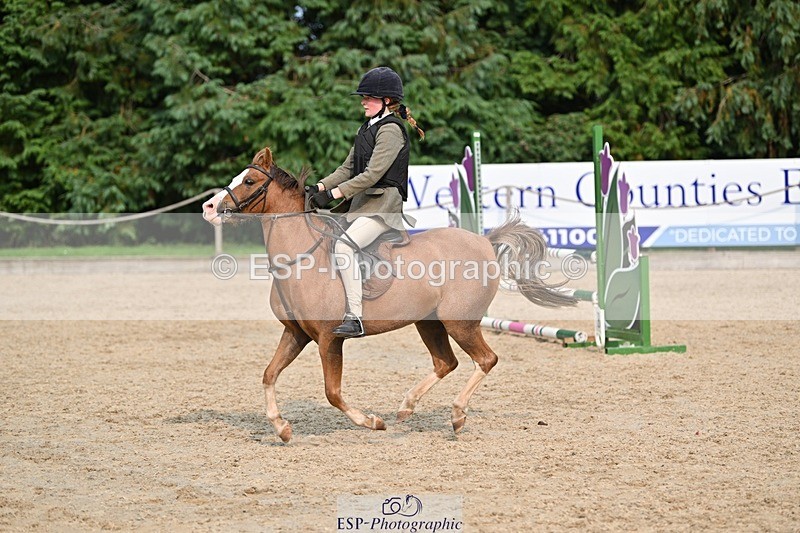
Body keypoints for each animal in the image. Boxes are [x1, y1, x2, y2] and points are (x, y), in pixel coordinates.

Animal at [202, 147, 574, 442]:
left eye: (250, 181)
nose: (208, 207)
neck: (300, 258)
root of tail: (484, 241)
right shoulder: (296, 334)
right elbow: (269, 374)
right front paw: (281, 427)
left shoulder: (329, 339)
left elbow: (332, 393)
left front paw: (372, 422)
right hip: (429, 322)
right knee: (446, 362)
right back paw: (406, 407)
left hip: (460, 322)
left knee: (485, 360)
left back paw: (456, 415)